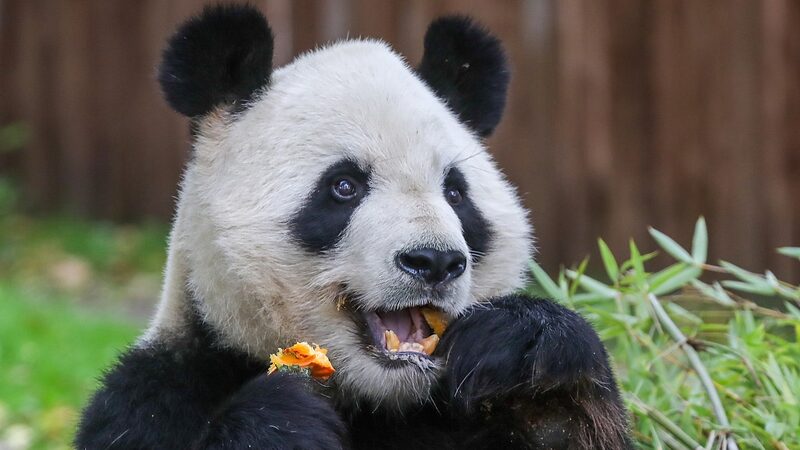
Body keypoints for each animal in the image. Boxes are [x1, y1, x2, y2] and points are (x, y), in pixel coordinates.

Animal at [76, 5, 631, 449]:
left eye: (455, 192)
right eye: (344, 186)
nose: (435, 261)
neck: (377, 398)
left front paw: (526, 349)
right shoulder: (158, 392)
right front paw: (285, 409)